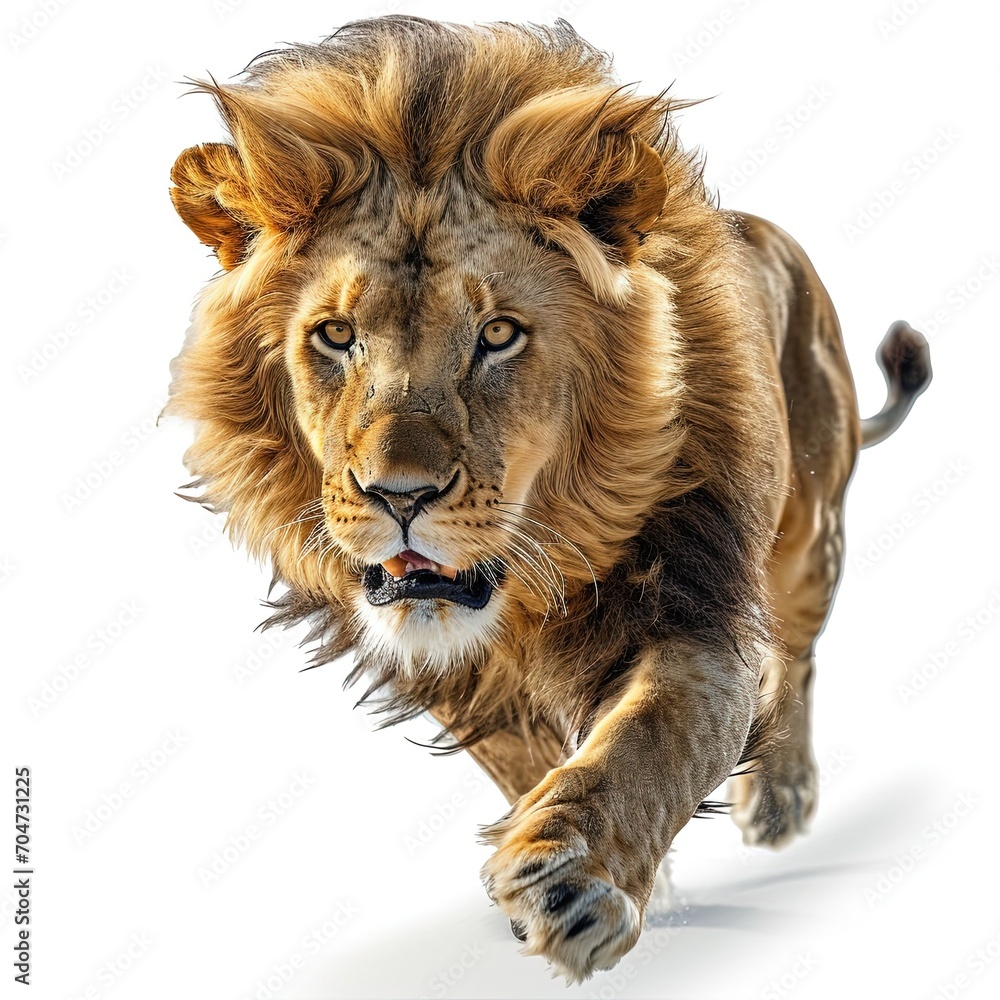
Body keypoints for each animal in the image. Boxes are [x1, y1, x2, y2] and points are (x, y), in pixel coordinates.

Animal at [166, 16, 931, 981]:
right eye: (335, 336)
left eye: (498, 335)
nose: (399, 495)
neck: (527, 597)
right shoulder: (463, 684)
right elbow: (531, 763)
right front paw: (606, 870)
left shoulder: (698, 611)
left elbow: (653, 739)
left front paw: (576, 880)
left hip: (810, 532)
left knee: (798, 657)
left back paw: (781, 794)